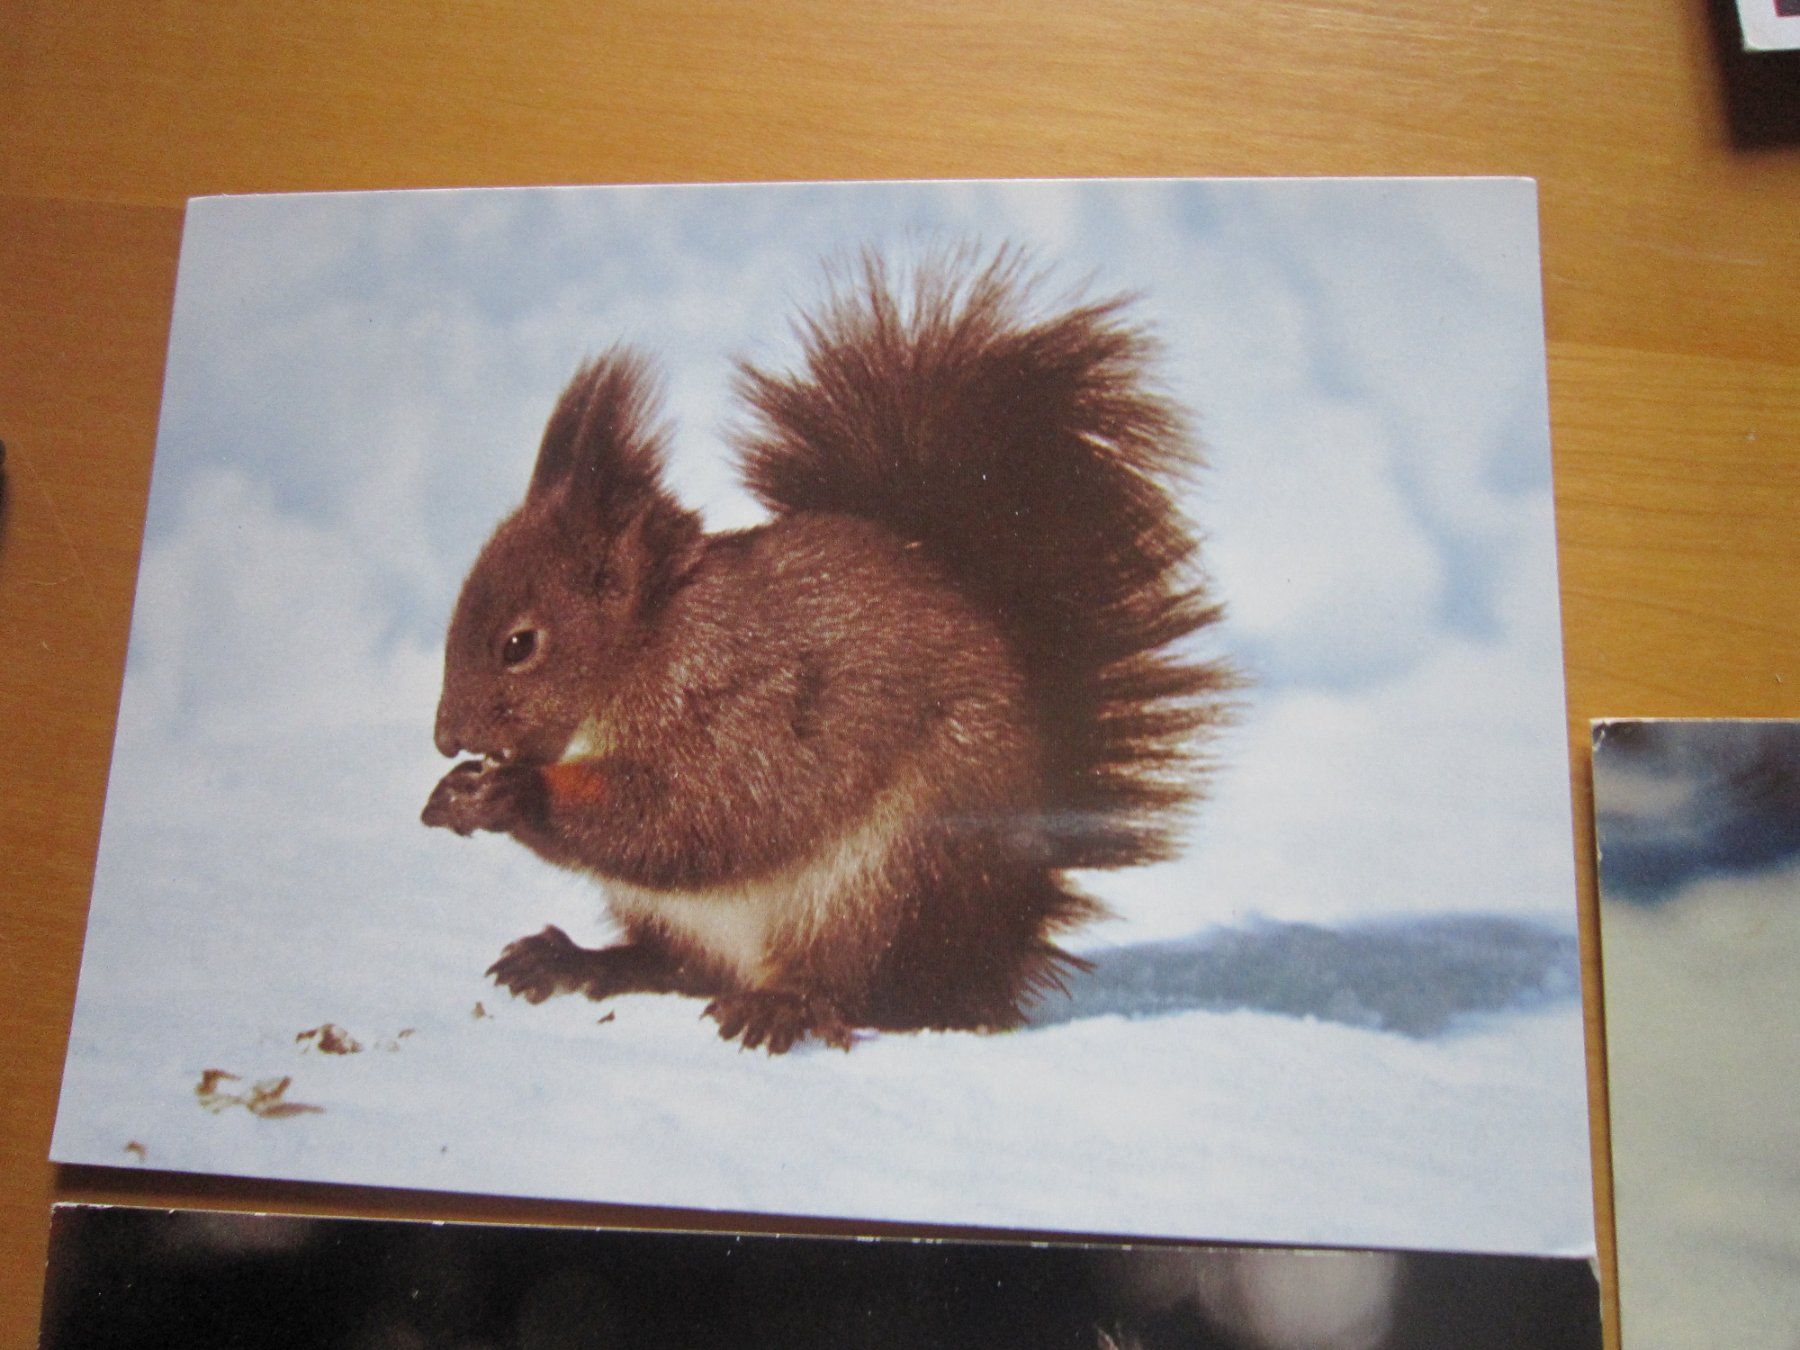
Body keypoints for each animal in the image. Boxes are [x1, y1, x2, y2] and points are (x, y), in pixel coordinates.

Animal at [422, 251, 1232, 1053]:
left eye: (519, 645)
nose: (445, 739)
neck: (651, 644)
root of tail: (993, 950)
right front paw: (455, 793)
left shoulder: (745, 711)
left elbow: (687, 816)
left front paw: (510, 793)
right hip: (692, 914)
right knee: (678, 965)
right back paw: (574, 961)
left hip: (884, 887)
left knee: (859, 991)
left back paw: (784, 1006)